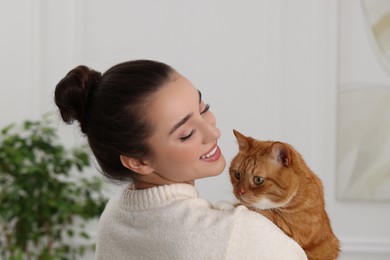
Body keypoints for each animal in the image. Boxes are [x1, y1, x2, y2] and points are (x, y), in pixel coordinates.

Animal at [230, 130, 340, 260]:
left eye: (258, 180)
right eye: (237, 174)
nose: (238, 191)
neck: (297, 195)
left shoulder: (294, 230)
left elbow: (265, 212)